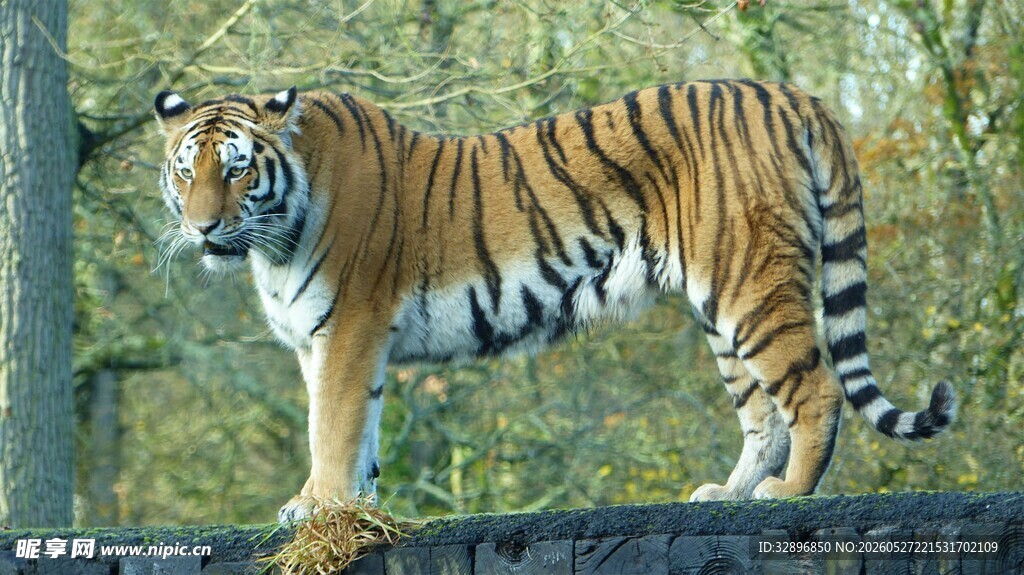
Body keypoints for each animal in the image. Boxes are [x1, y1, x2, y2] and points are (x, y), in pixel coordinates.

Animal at [153, 79, 957, 523]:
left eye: (236, 170)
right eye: (187, 171)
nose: (202, 227)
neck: (274, 237)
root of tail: (791, 93)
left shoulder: (348, 330)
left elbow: (334, 426)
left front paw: (315, 505)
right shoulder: (333, 342)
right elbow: (362, 434)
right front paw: (353, 507)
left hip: (750, 283)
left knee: (815, 390)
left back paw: (787, 495)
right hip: (721, 304)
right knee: (762, 413)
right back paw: (726, 493)